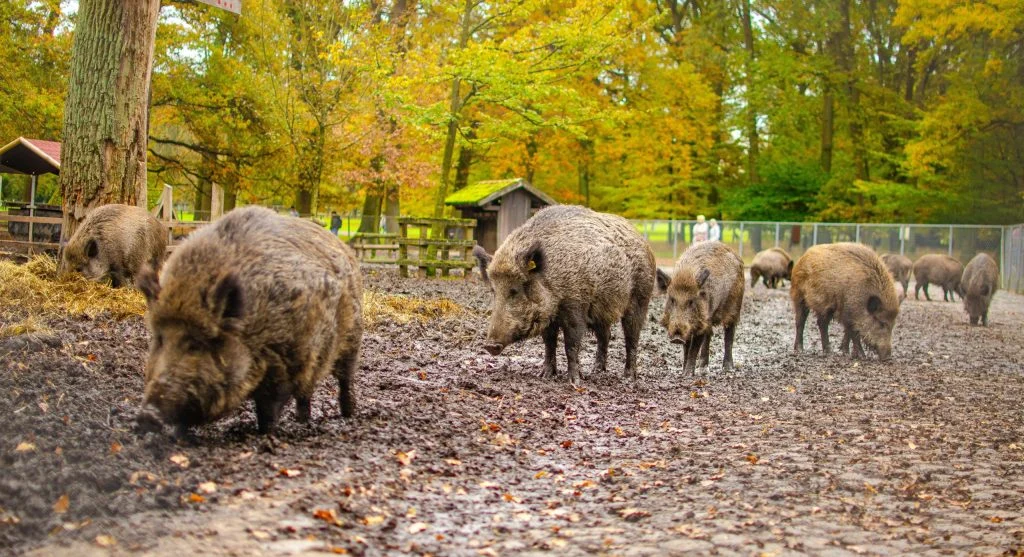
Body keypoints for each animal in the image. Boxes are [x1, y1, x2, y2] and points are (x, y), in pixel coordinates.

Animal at [135, 206, 362, 435]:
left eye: (196, 344)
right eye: (160, 340)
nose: (148, 416)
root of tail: (344, 249)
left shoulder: (283, 360)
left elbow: (268, 407)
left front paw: (265, 433)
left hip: (352, 338)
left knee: (345, 378)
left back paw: (347, 413)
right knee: (307, 389)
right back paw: (302, 421)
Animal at [472, 205, 656, 385]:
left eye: (515, 290)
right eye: (493, 291)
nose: (490, 345)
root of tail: (643, 241)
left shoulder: (576, 307)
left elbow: (571, 345)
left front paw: (574, 382)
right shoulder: (549, 319)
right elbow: (549, 344)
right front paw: (544, 376)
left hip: (641, 298)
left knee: (632, 338)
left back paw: (628, 378)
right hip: (602, 310)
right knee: (606, 336)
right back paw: (596, 371)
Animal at [656, 241, 744, 373]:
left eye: (691, 301)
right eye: (672, 299)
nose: (677, 337)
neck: (686, 274)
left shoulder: (700, 321)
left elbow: (694, 347)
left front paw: (687, 374)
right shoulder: (692, 326)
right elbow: (686, 347)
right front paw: (682, 372)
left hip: (734, 306)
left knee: (729, 334)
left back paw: (728, 368)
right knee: (709, 335)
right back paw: (702, 367)